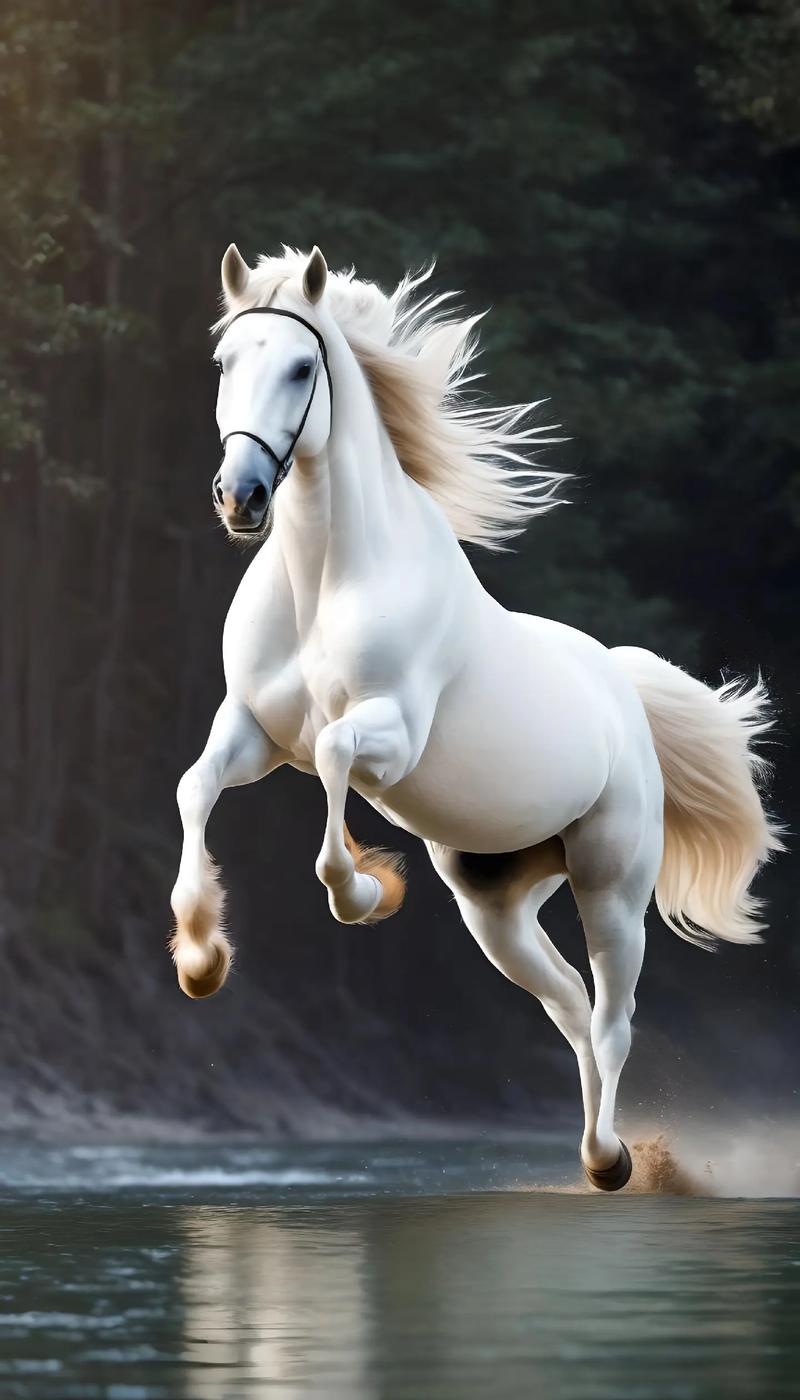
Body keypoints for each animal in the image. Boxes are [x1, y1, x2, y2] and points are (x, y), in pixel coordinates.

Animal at [170, 244, 782, 1191]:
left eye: (303, 366)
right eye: (225, 362)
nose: (241, 498)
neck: (326, 579)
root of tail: (620, 684)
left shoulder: (388, 734)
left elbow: (336, 761)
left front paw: (366, 891)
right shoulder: (255, 735)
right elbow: (194, 789)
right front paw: (202, 958)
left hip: (612, 884)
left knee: (611, 1018)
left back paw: (613, 1163)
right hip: (494, 906)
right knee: (569, 1008)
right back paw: (598, 1153)